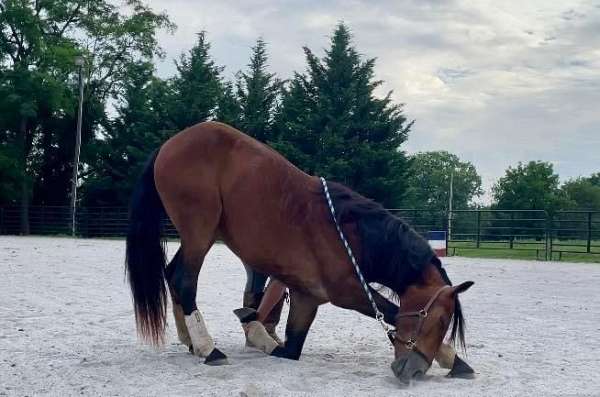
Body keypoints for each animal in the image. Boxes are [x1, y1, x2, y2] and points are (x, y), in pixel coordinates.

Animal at [125, 121, 474, 384]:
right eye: (438, 320)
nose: (413, 370)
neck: (351, 232)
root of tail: (169, 144)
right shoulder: (345, 291)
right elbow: (388, 310)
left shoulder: (307, 299)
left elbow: (291, 348)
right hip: (200, 233)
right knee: (184, 281)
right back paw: (209, 348)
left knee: (172, 274)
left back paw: (191, 341)